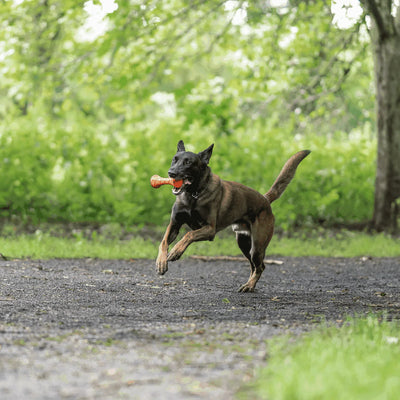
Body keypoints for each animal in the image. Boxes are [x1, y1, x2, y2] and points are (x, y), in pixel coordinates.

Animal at [155, 140, 310, 290]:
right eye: (174, 160)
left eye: (188, 162)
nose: (171, 173)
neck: (193, 195)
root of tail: (265, 199)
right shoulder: (174, 225)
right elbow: (163, 242)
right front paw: (161, 262)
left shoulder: (210, 230)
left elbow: (188, 235)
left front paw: (176, 251)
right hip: (243, 243)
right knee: (253, 266)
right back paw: (249, 285)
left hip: (257, 247)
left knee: (260, 266)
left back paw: (249, 286)